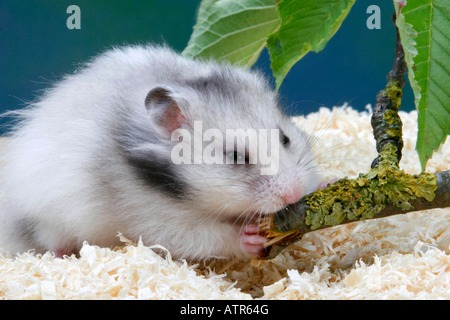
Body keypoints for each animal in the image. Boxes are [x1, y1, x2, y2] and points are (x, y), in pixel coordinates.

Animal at [0, 44, 324, 260]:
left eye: (285, 138)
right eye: (234, 156)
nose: (294, 193)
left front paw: (324, 182)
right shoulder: (150, 218)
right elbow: (202, 235)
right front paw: (250, 237)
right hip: (46, 221)